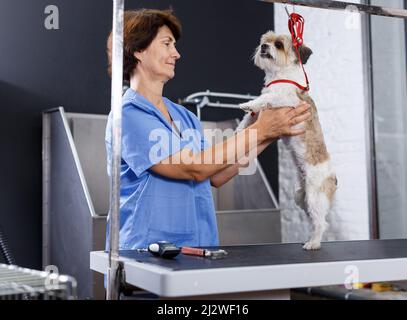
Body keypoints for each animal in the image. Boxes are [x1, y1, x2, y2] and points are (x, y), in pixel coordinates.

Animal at [239, 30, 338, 250]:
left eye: (278, 44)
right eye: (264, 41)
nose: (264, 47)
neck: (278, 77)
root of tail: (332, 177)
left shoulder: (286, 100)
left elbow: (266, 99)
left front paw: (249, 103)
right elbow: (248, 119)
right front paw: (240, 128)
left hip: (315, 196)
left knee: (321, 222)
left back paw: (313, 243)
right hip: (300, 196)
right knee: (313, 219)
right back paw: (310, 238)